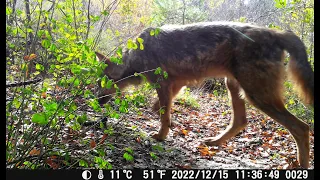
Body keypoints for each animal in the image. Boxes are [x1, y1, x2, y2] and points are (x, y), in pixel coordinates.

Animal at [94, 21, 312, 168]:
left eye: (98, 83)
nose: (96, 101)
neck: (136, 55)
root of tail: (278, 32)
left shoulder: (163, 84)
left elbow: (163, 113)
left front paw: (160, 136)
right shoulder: (177, 84)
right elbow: (159, 108)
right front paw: (171, 123)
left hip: (256, 96)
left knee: (302, 128)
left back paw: (301, 165)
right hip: (234, 87)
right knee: (240, 122)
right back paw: (214, 142)